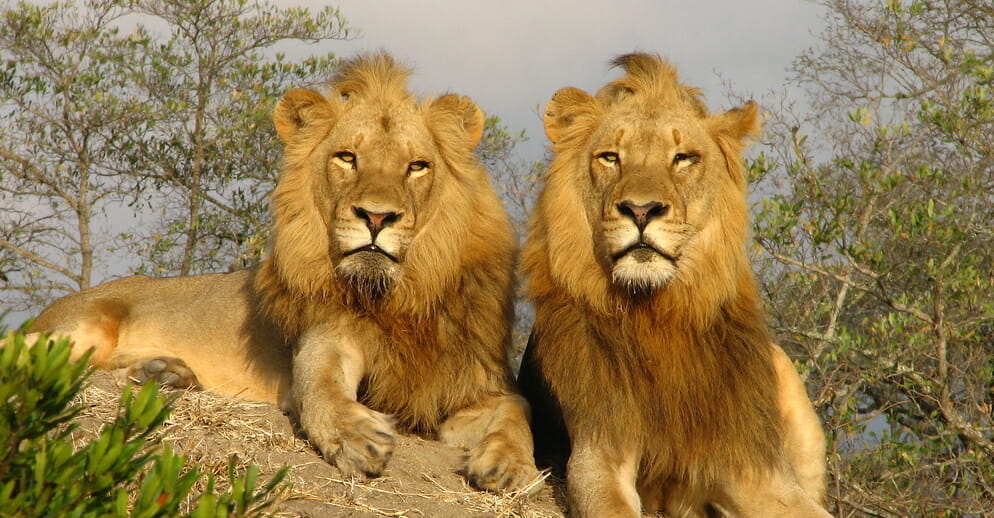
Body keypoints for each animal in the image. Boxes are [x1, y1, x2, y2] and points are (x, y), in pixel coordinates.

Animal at [19, 53, 539, 493]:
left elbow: (520, 409)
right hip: (86, 322)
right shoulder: (326, 338)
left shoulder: (473, 379)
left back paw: (164, 371)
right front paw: (355, 436)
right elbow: (319, 385)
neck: (398, 296)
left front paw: (510, 464)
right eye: (347, 157)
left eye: (417, 166)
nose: (376, 217)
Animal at [516, 53, 830, 517]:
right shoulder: (599, 452)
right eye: (610, 157)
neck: (659, 312)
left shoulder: (755, 468)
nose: (641, 210)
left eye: (683, 158)